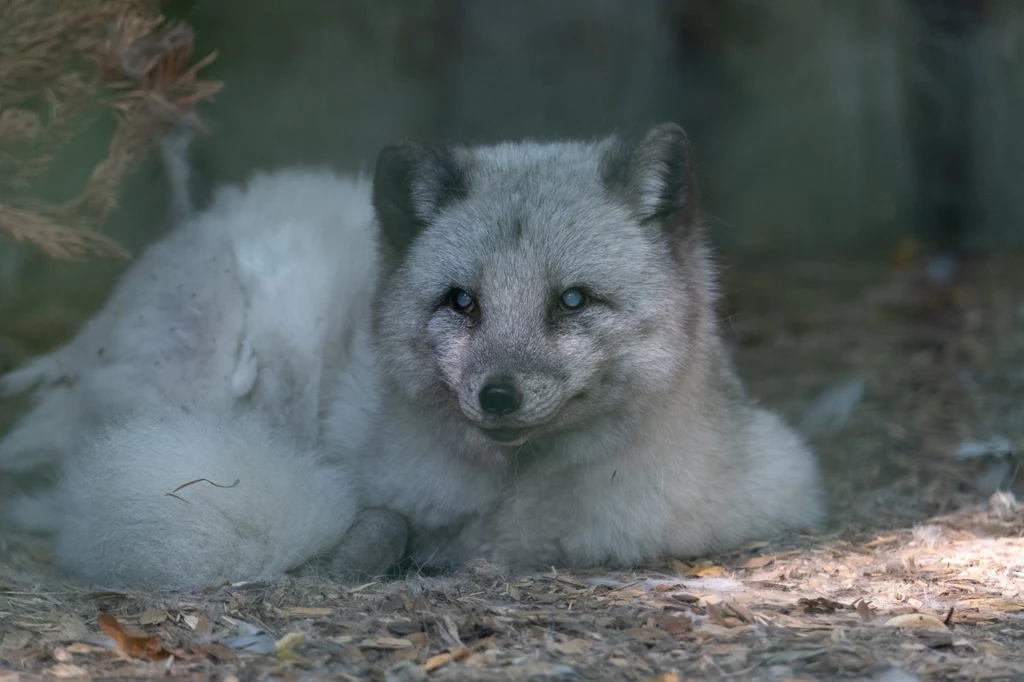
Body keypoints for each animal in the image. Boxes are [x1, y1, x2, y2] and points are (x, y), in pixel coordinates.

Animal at [0, 123, 827, 589]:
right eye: (461, 302)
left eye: (572, 301)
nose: (497, 395)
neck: (520, 506)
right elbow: (381, 516)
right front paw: (369, 552)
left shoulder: (773, 490)